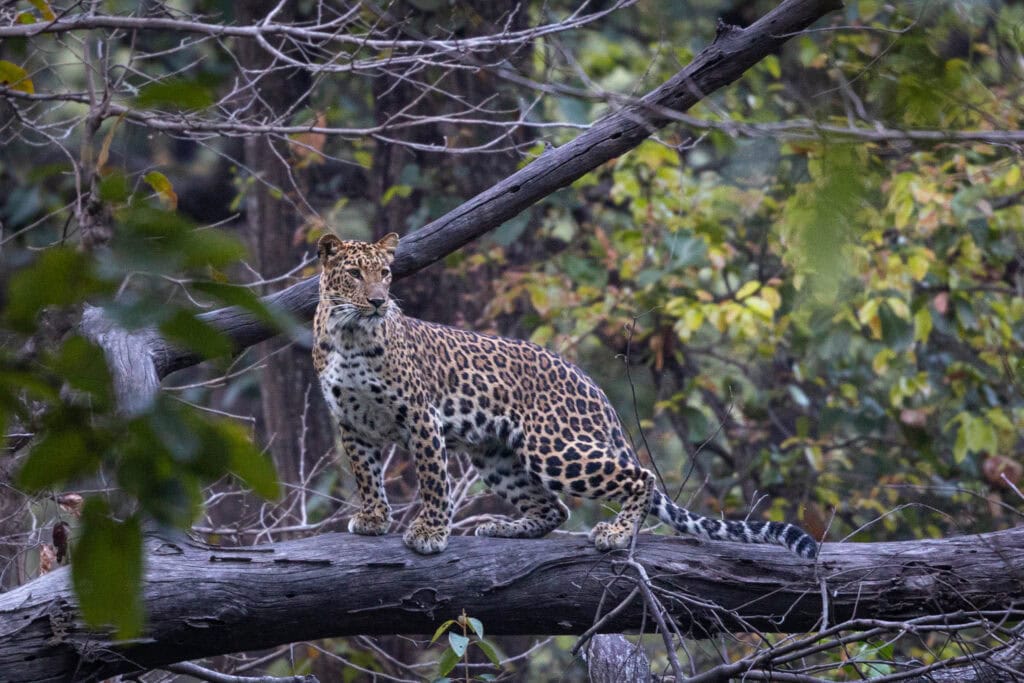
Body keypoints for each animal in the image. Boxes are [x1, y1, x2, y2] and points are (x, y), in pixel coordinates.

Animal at [313, 232, 818, 559]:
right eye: (355, 274)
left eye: (386, 274)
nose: (378, 301)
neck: (349, 334)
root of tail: (591, 383)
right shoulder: (351, 422)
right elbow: (366, 474)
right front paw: (373, 518)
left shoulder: (421, 416)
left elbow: (433, 478)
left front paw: (430, 532)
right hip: (499, 456)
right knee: (553, 507)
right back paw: (505, 527)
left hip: (554, 447)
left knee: (639, 477)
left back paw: (616, 534)